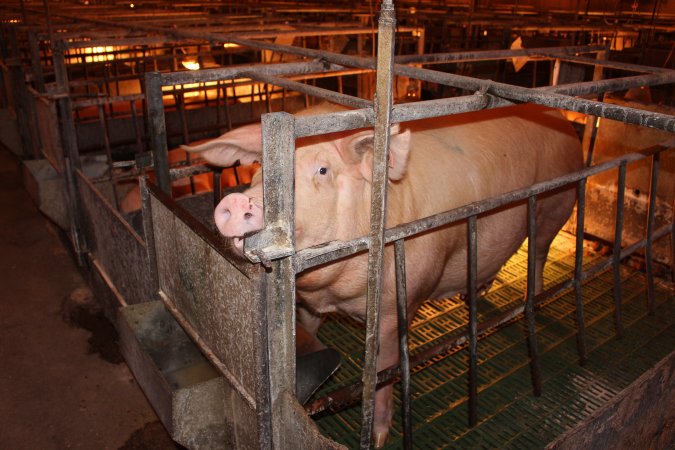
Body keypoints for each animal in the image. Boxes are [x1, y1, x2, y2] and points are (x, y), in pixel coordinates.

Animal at [186, 103, 588, 446]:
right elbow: (308, 331)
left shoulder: (397, 307)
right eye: (260, 169)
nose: (239, 200)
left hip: (556, 204)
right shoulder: (311, 304)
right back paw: (473, 293)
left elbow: (383, 370)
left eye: (323, 170)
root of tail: (560, 118)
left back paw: (534, 299)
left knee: (539, 253)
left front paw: (379, 437)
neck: (335, 293)